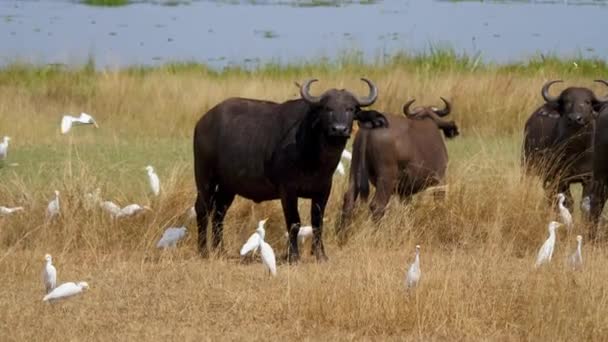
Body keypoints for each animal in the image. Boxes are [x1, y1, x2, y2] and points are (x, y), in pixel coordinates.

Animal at [192, 78, 388, 262]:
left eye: (351, 109)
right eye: (327, 108)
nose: (339, 129)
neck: (315, 158)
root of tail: (202, 122)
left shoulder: (323, 190)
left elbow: (317, 222)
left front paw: (320, 255)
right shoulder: (288, 191)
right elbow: (294, 222)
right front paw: (293, 256)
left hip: (228, 186)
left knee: (219, 213)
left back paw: (220, 250)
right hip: (204, 178)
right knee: (202, 209)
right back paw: (203, 251)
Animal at [338, 96, 456, 235]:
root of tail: (368, 127)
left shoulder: (405, 191)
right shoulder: (440, 179)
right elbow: (439, 203)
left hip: (355, 170)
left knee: (349, 201)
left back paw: (343, 234)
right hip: (386, 179)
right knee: (377, 206)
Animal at [516, 80, 608, 210]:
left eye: (587, 102)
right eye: (566, 101)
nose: (575, 118)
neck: (576, 150)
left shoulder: (589, 178)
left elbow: (585, 203)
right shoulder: (560, 178)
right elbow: (568, 202)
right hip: (527, 165)